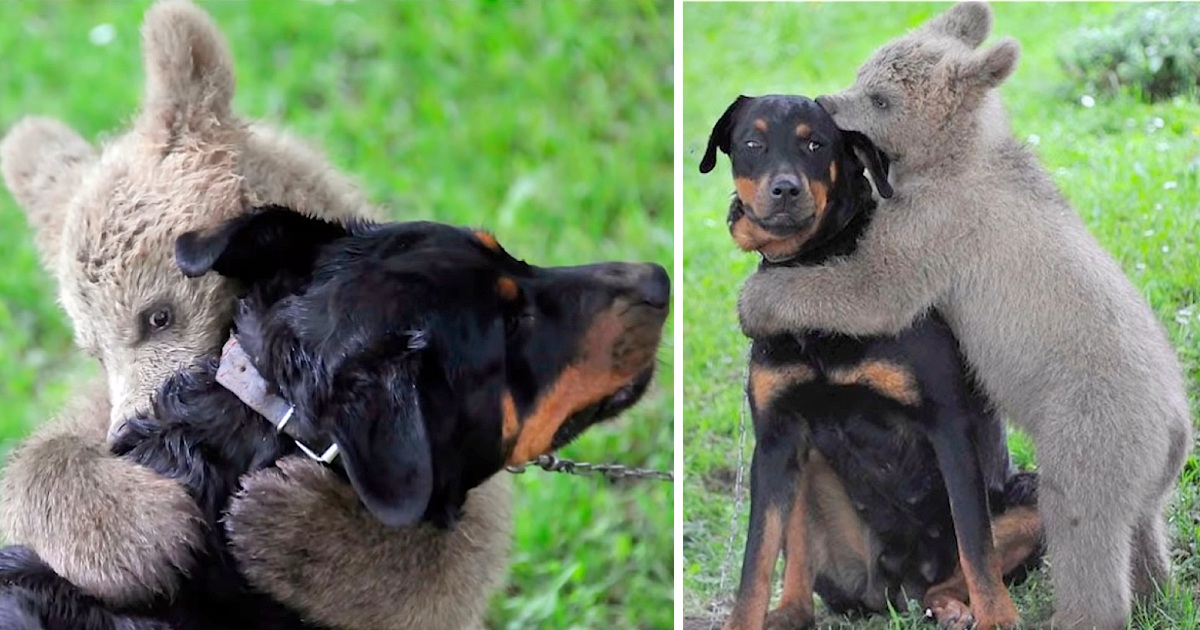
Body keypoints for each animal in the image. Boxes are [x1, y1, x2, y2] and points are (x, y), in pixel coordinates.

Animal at [700, 94, 1046, 628]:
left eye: (816, 144)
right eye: (752, 144)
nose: (785, 189)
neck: (812, 276)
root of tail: (898, 587)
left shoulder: (947, 424)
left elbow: (976, 545)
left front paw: (999, 619)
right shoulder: (776, 439)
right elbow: (755, 560)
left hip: (1034, 499)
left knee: (956, 571)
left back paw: (951, 606)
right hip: (813, 481)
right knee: (800, 564)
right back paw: (790, 611)